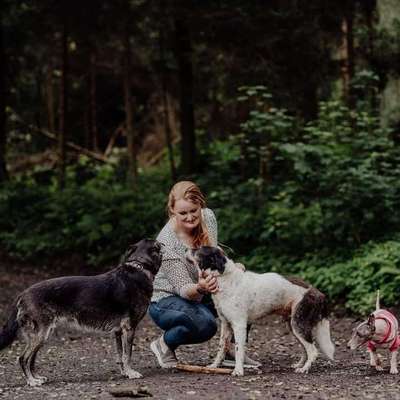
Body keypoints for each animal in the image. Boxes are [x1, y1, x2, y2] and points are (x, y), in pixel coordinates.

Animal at [0, 239, 162, 386]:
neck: (140, 268)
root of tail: (22, 294)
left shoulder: (118, 331)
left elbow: (120, 355)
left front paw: (124, 373)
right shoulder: (129, 328)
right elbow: (128, 354)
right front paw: (131, 373)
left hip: (41, 335)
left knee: (31, 359)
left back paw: (36, 378)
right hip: (40, 334)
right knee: (23, 358)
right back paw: (32, 381)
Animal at [187, 245, 334, 376]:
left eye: (199, 249)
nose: (185, 249)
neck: (224, 277)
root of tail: (318, 292)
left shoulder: (239, 324)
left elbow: (239, 349)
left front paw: (238, 371)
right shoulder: (225, 324)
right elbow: (221, 347)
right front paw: (214, 366)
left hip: (298, 324)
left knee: (313, 350)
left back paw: (304, 369)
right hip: (293, 326)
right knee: (306, 348)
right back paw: (299, 365)